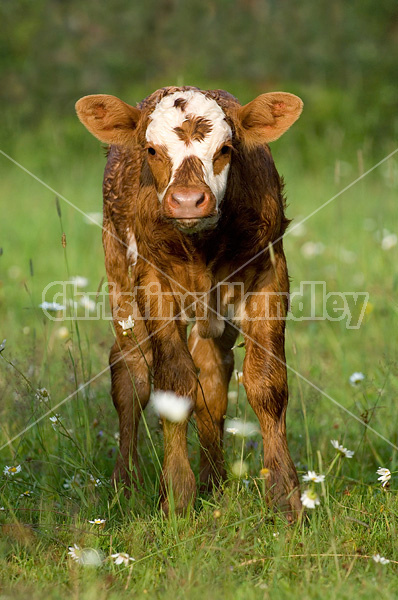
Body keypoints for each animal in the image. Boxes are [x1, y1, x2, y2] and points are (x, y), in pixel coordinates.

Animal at [76, 85, 304, 520]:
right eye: (151, 149)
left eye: (226, 149)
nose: (186, 200)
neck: (203, 246)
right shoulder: (152, 282)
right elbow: (174, 381)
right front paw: (177, 496)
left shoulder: (270, 272)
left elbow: (266, 383)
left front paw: (286, 498)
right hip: (120, 281)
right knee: (131, 372)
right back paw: (125, 484)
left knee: (213, 375)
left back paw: (213, 482)